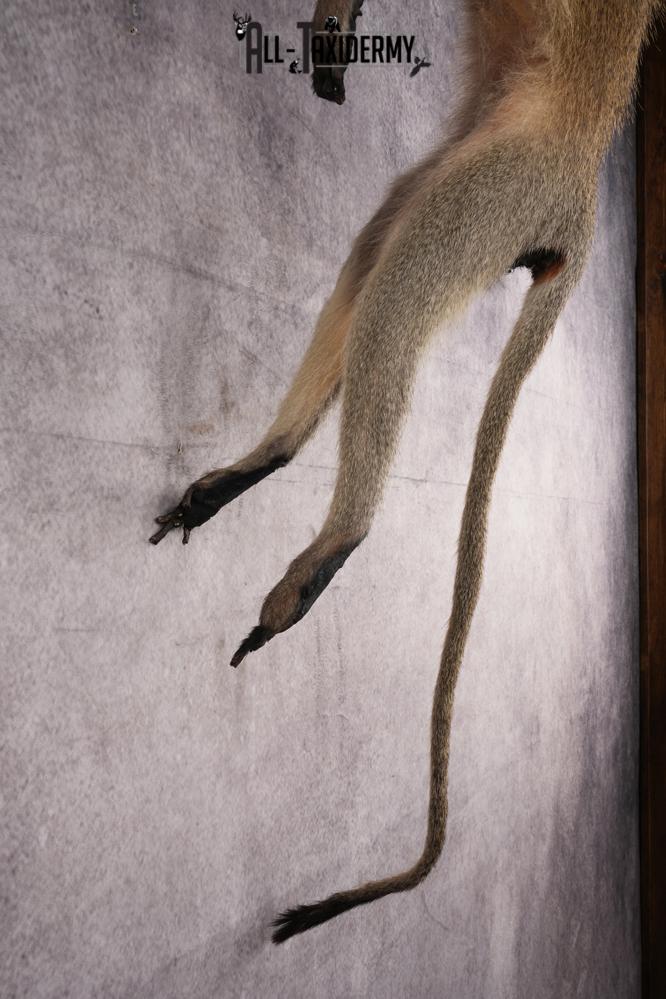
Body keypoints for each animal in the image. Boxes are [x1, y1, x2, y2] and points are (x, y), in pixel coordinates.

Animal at [150, 0, 663, 943]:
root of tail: (575, 197)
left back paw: (337, 543)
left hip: (493, 197)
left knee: (392, 288)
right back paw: (267, 464)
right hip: (476, 190)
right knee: (375, 254)